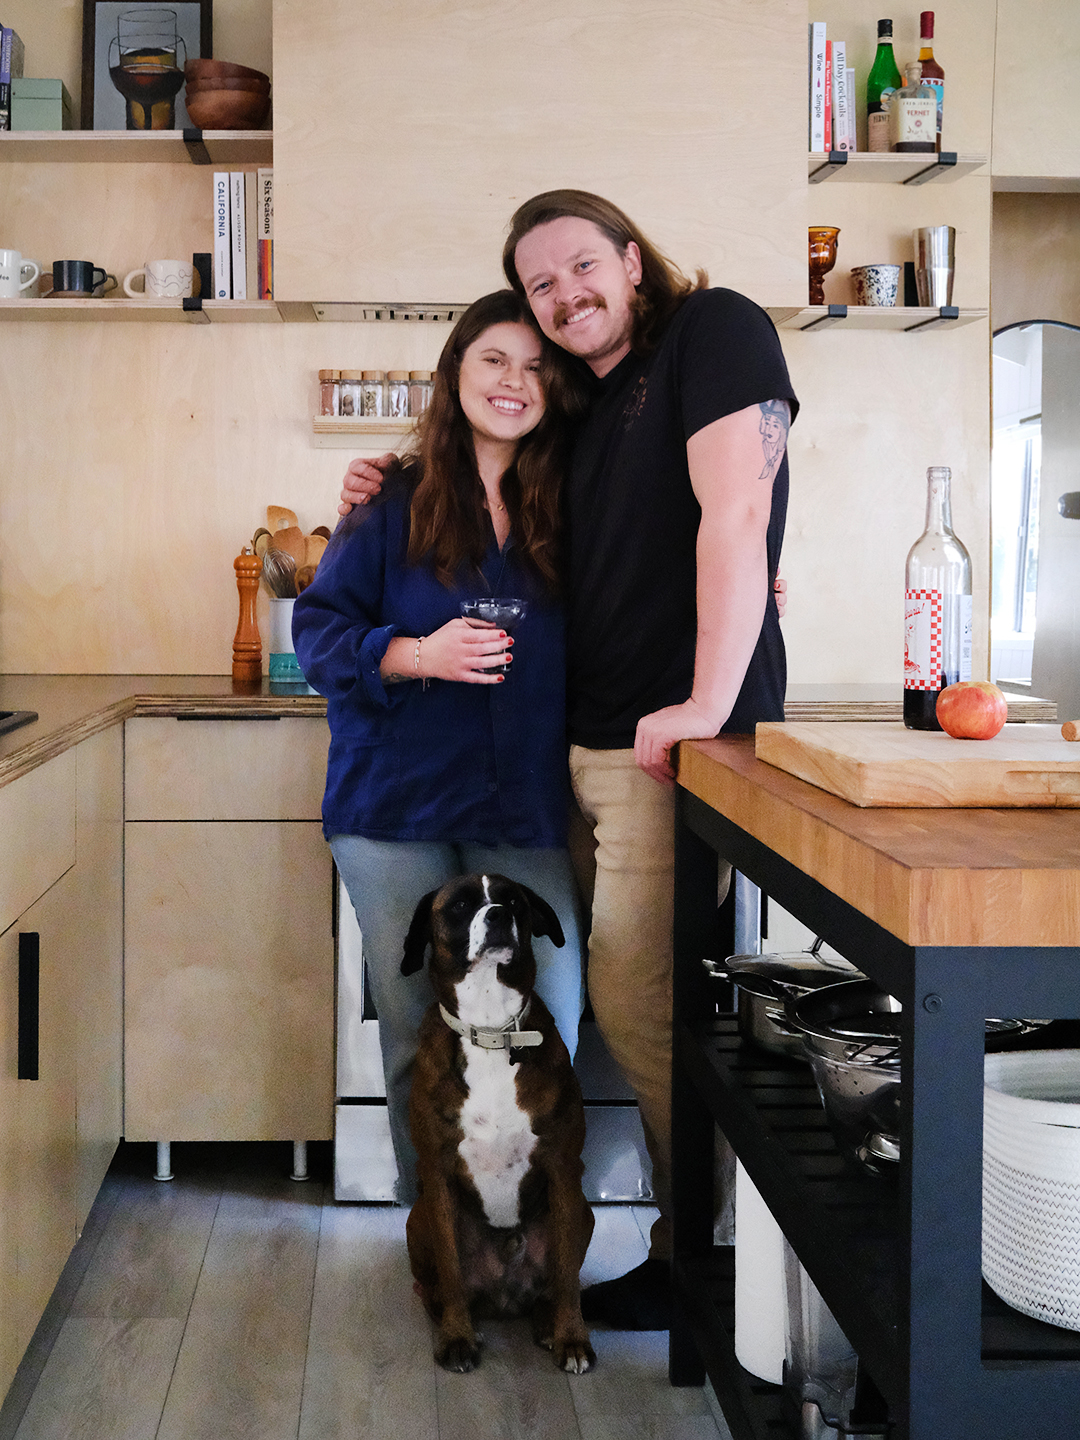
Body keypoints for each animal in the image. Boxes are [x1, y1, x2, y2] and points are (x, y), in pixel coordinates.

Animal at [403, 864, 596, 1370]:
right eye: (460, 905)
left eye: (514, 902)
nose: (497, 915)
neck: (491, 1029)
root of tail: (504, 1296)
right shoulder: (438, 1174)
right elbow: (451, 1270)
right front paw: (457, 1337)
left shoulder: (564, 1170)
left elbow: (567, 1277)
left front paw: (572, 1338)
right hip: (418, 1217)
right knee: (433, 1287)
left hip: (583, 1212)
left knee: (554, 1284)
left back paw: (548, 1323)